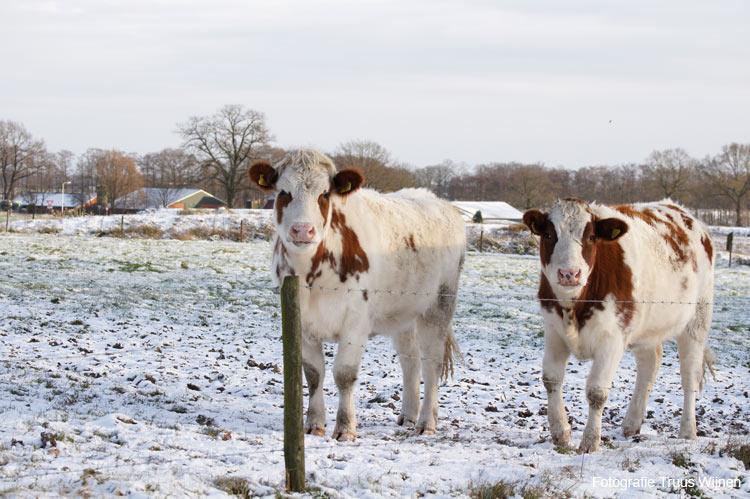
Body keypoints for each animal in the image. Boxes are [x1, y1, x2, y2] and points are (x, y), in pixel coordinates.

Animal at [250, 148, 468, 442]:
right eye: (284, 192)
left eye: (324, 194)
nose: (302, 230)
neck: (311, 276)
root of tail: (440, 203)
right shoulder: (303, 324)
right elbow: (314, 375)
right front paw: (314, 424)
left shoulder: (356, 322)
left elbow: (344, 374)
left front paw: (345, 428)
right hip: (403, 315)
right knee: (409, 361)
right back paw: (408, 416)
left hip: (438, 307)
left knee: (430, 363)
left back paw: (426, 422)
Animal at [524, 198, 716, 454]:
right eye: (548, 234)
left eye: (591, 236)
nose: (569, 274)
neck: (576, 306)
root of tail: (681, 211)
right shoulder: (553, 332)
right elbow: (551, 379)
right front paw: (561, 434)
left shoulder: (612, 339)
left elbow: (596, 391)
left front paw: (590, 442)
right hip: (647, 327)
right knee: (649, 364)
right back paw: (631, 424)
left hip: (697, 320)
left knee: (689, 376)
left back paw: (687, 431)